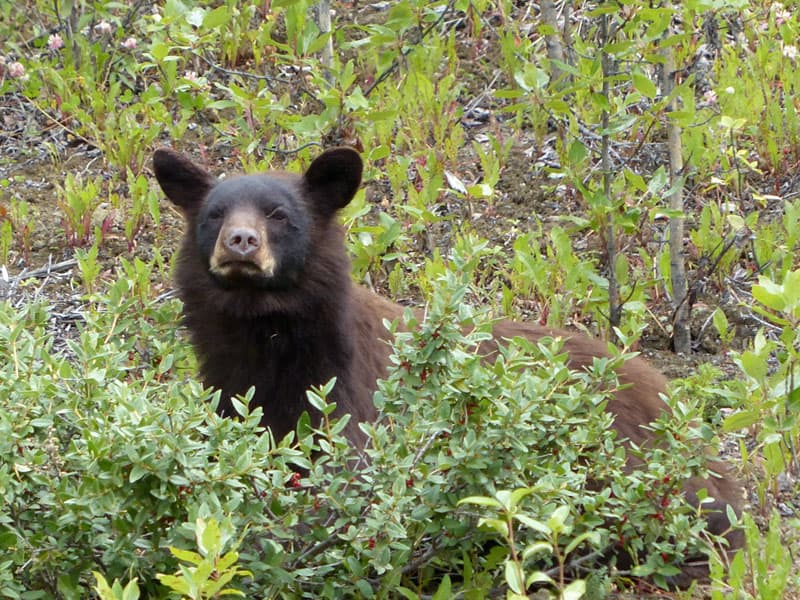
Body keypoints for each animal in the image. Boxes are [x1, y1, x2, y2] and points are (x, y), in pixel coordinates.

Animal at [152, 144, 744, 576]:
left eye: (279, 214)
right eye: (213, 214)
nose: (240, 241)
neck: (268, 341)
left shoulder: (346, 394)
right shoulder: (231, 387)